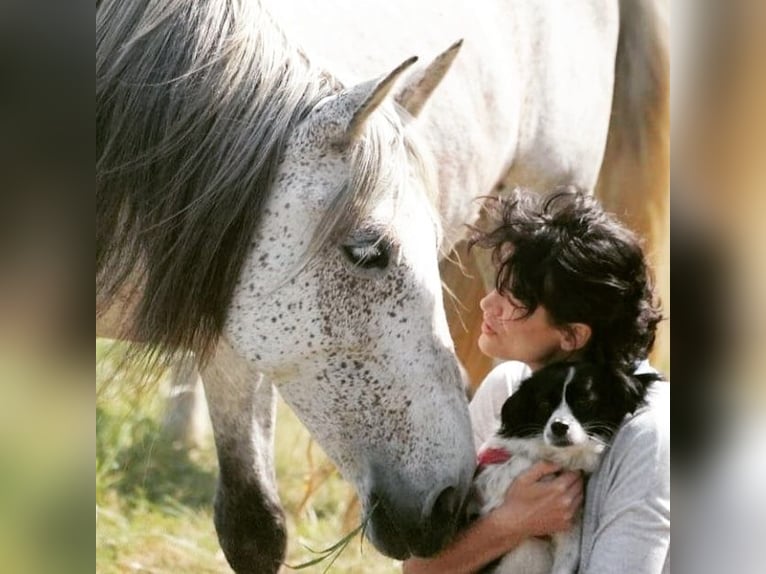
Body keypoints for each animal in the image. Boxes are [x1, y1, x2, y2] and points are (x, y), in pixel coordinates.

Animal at [472, 362, 656, 572]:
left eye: (583, 402)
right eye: (544, 405)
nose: (559, 426)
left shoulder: (570, 534)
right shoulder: (484, 483)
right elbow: (518, 461)